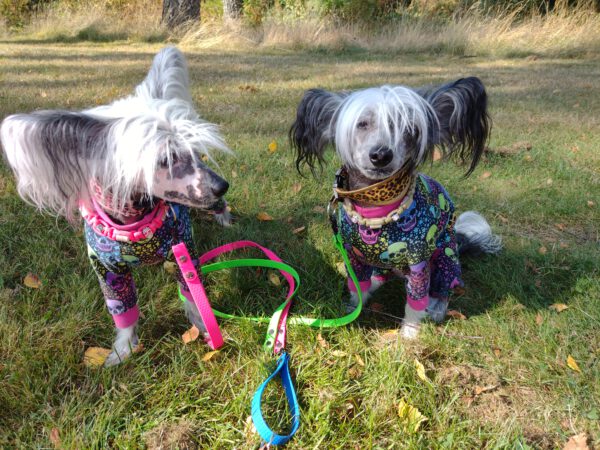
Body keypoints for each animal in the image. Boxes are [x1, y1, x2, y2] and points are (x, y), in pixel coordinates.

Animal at [0, 47, 232, 368]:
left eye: (196, 152)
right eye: (166, 159)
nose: (222, 185)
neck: (136, 221)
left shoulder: (184, 254)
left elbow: (194, 298)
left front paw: (204, 328)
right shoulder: (107, 270)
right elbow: (123, 312)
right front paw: (124, 350)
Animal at [290, 77, 502, 338]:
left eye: (408, 128)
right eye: (362, 124)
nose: (381, 155)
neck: (375, 205)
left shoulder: (419, 264)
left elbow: (415, 303)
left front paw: (409, 333)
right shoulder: (354, 257)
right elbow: (357, 287)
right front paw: (353, 307)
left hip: (446, 256)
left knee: (443, 290)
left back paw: (437, 309)